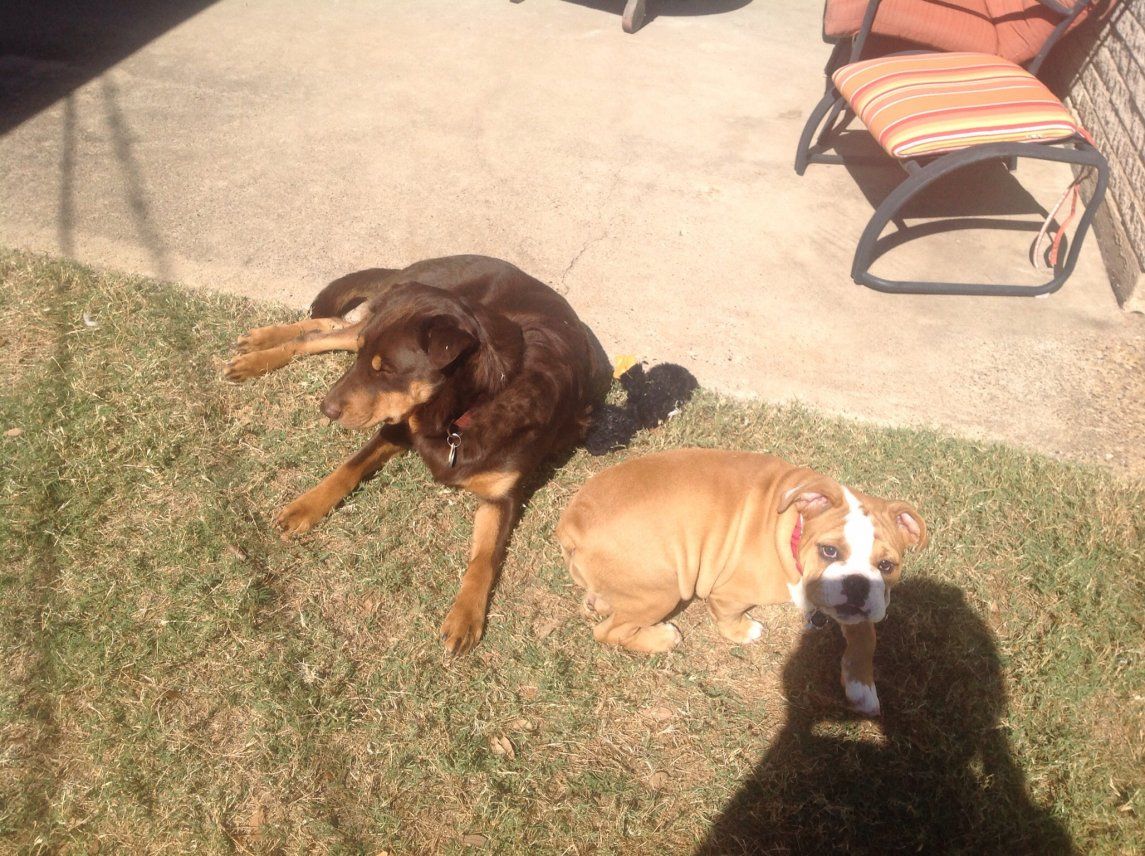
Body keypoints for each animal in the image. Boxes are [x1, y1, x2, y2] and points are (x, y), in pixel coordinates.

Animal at [225, 255, 612, 654]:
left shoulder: (501, 497)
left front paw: (464, 617)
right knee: (324, 333)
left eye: (386, 370)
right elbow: (349, 467)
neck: (464, 409)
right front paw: (305, 507)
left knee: (331, 324)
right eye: (367, 361)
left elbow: (483, 559)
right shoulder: (395, 427)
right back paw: (258, 349)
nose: (326, 409)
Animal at [556, 448, 928, 715]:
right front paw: (743, 631)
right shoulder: (726, 594)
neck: (794, 530)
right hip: (662, 589)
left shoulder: (861, 608)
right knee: (608, 631)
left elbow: (867, 638)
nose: (856, 585)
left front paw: (862, 687)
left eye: (887, 565)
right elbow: (728, 617)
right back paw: (661, 637)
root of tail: (571, 523)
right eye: (829, 551)